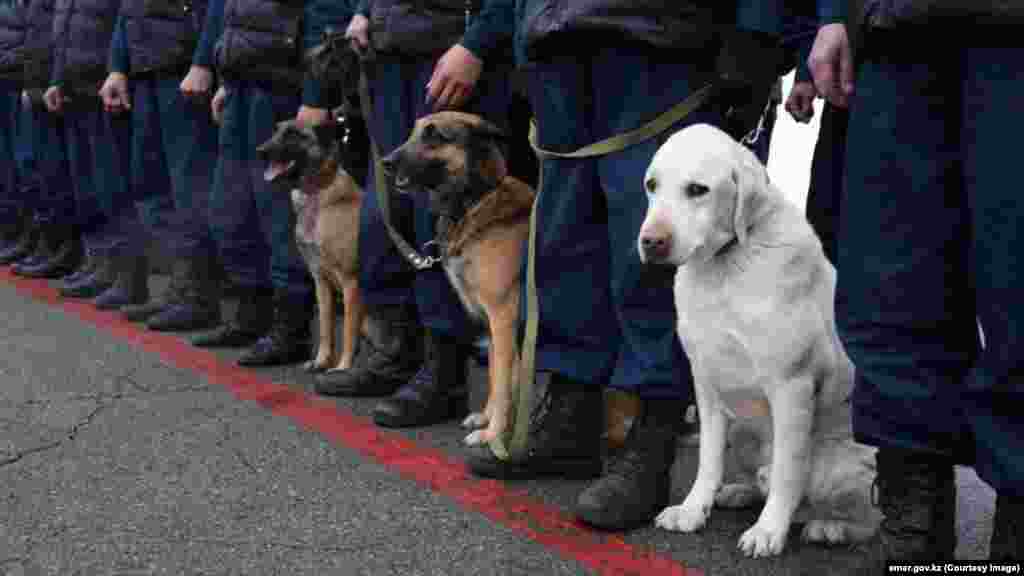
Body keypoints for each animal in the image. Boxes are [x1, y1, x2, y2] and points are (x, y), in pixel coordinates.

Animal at [258, 118, 366, 375]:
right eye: (276, 130)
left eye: (294, 134)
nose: (260, 151)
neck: (316, 194)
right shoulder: (320, 280)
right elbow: (326, 327)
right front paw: (321, 361)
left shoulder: (351, 281)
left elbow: (347, 330)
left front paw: (343, 367)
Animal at [634, 121, 876, 557]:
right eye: (652, 185)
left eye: (698, 189)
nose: (651, 241)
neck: (726, 266)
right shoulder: (706, 384)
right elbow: (708, 461)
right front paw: (694, 509)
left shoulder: (791, 388)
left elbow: (786, 473)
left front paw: (768, 531)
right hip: (742, 429)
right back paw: (740, 492)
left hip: (836, 468)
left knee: (868, 518)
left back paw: (830, 526)